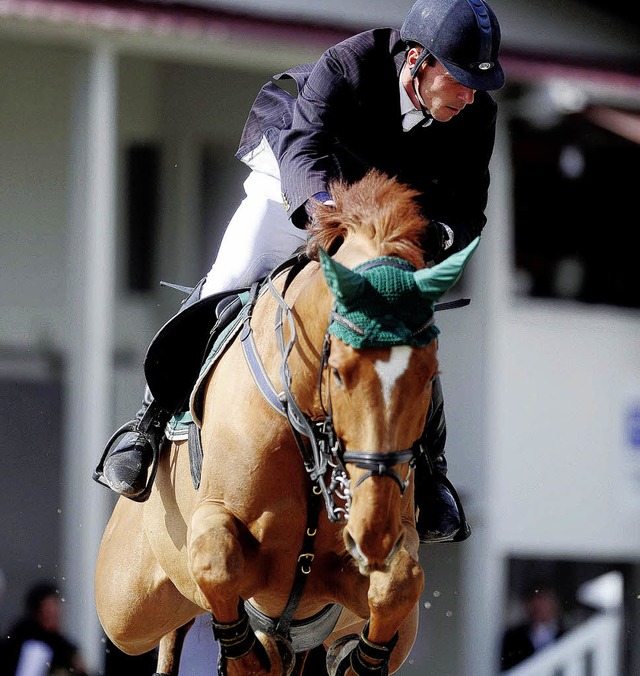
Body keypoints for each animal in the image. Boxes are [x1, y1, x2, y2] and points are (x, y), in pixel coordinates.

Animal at [94, 172, 476, 672]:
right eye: (340, 371)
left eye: (429, 376)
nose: (373, 534)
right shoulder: (214, 521)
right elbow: (216, 561)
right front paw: (247, 661)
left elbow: (400, 583)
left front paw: (356, 661)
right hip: (124, 602)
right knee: (166, 628)